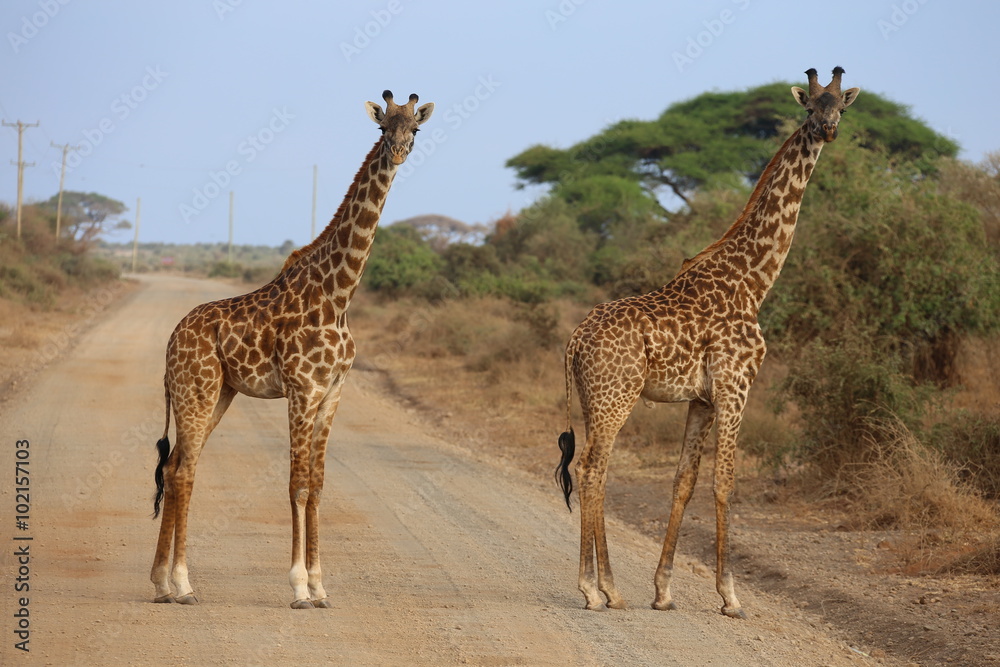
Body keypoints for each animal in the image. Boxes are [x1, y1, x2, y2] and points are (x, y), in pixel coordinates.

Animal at [150, 90, 433, 609]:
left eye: (416, 129)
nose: (399, 151)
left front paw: (320, 586)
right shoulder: (302, 391)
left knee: (177, 466)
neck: (339, 296)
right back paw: (182, 583)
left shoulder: (333, 393)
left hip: (218, 394)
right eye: (383, 127)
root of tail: (171, 341)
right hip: (195, 391)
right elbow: (297, 486)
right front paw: (299, 587)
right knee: (183, 471)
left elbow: (318, 485)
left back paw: (161, 583)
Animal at [555, 68, 859, 618]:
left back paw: (608, 587)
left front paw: (664, 591)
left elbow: (684, 482)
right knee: (590, 470)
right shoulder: (736, 389)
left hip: (593, 398)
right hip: (616, 397)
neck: (754, 282)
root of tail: (574, 341)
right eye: (810, 107)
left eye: (840, 107)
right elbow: (725, 482)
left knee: (597, 472)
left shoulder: (701, 399)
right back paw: (594, 589)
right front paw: (731, 596)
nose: (827, 130)